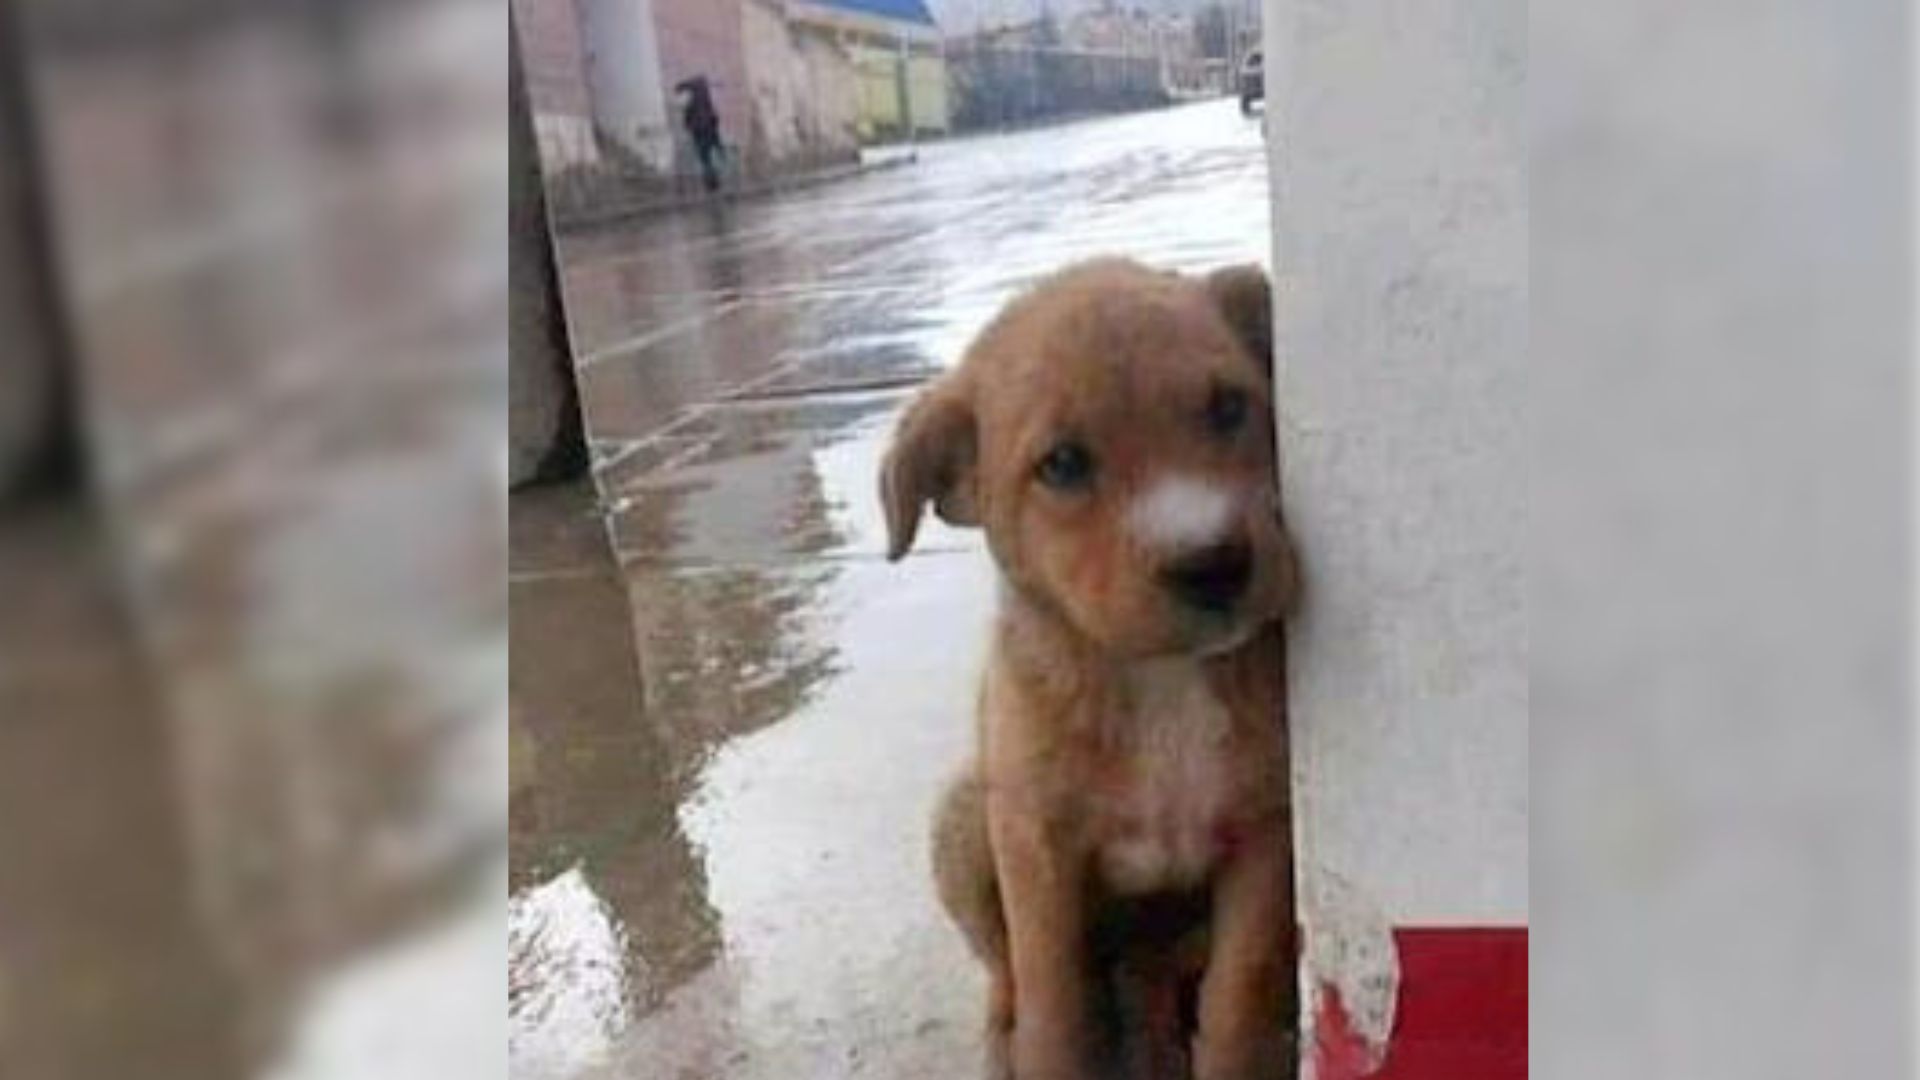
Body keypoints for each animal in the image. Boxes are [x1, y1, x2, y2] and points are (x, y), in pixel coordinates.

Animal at [883, 253, 1305, 1076]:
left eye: (1229, 407)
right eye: (1063, 464)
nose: (1213, 566)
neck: (1157, 680)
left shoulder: (1266, 834)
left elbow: (1236, 997)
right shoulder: (1036, 843)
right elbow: (1055, 1002)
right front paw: (1050, 1046)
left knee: (1166, 975)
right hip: (966, 817)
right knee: (1009, 970)